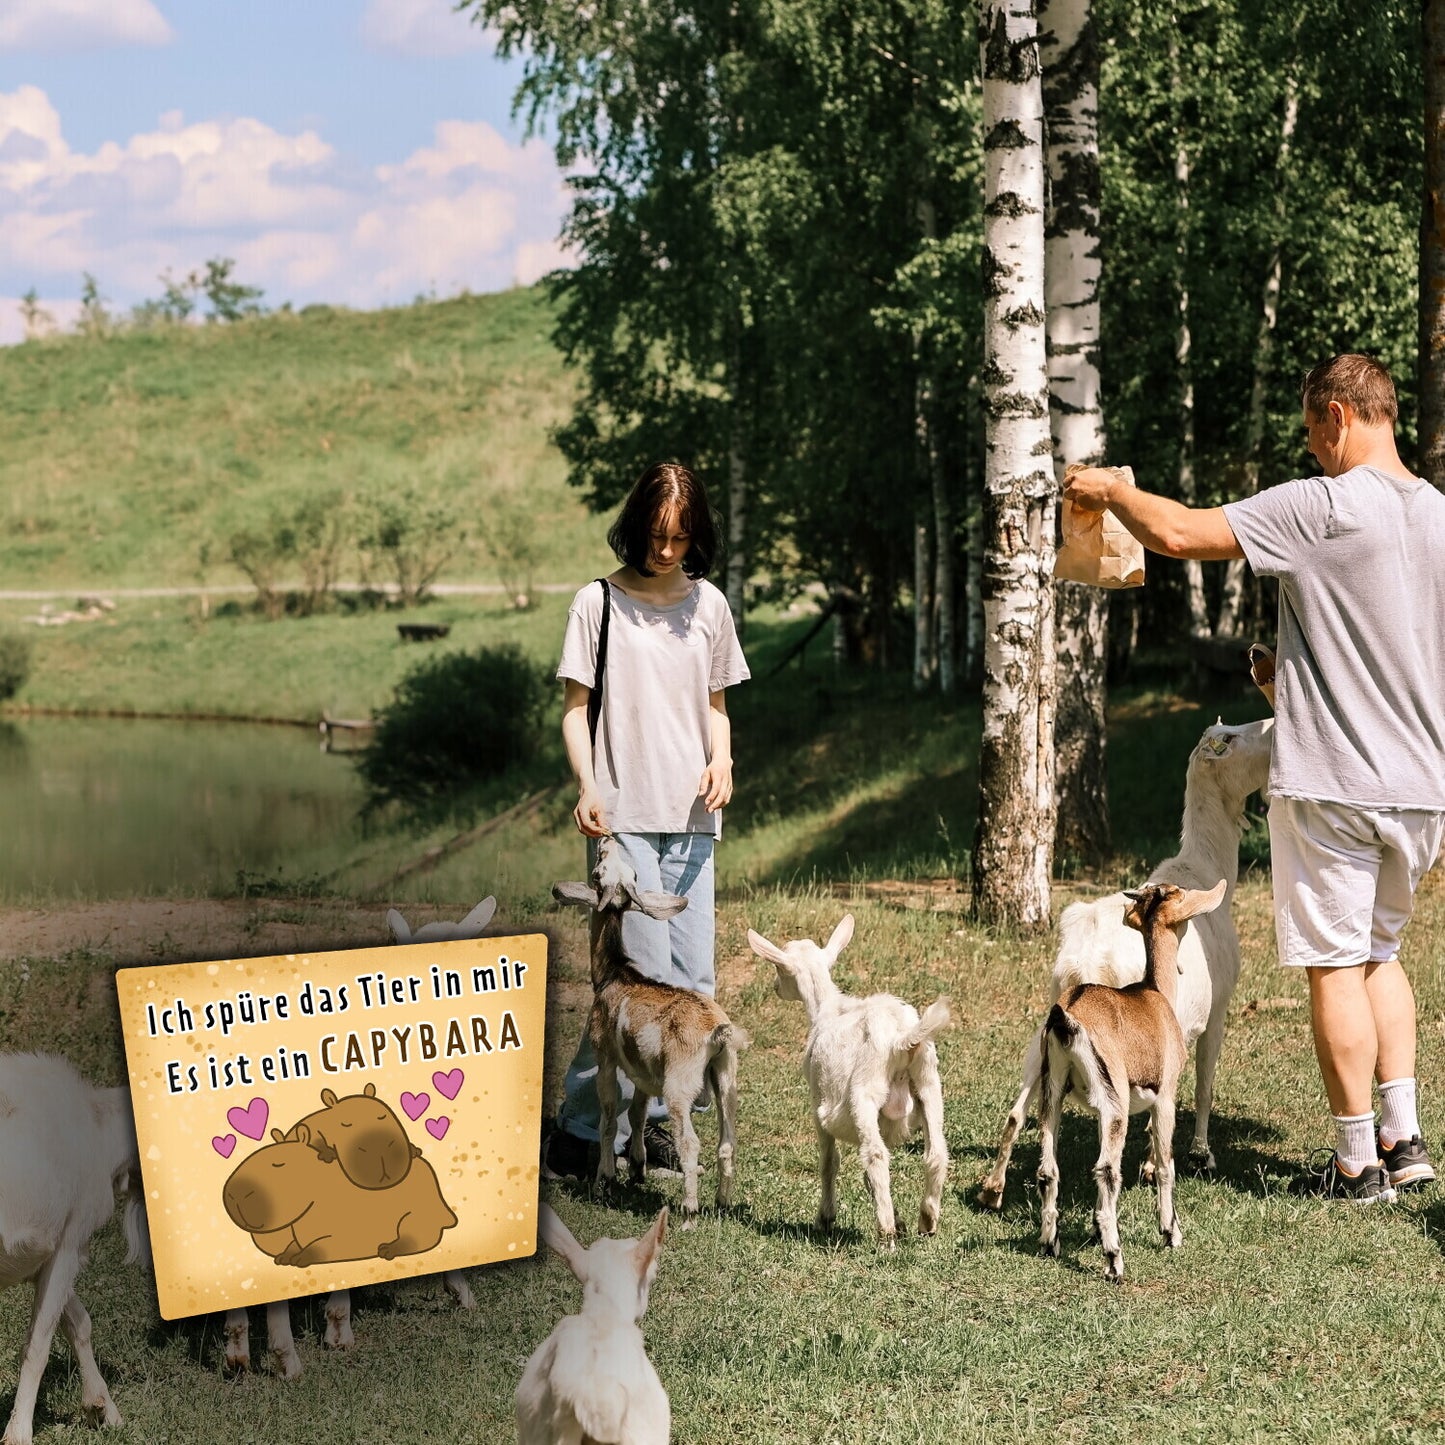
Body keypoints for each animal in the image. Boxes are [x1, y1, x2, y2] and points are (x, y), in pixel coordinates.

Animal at [0, 1051, 149, 1445]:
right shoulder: (69, 1242)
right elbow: (37, 1345)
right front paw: (18, 1433)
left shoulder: (44, 1258)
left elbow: (77, 1321)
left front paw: (102, 1408)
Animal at [551, 838, 751, 1219]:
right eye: (633, 873)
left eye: (597, 874)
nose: (606, 840)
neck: (616, 973)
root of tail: (716, 1032)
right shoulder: (643, 1070)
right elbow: (638, 1113)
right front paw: (637, 1169)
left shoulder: (606, 1056)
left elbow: (609, 1117)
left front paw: (606, 1179)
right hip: (727, 1079)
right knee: (727, 1141)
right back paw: (722, 1202)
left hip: (679, 1086)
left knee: (690, 1141)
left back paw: (689, 1209)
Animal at [751, 913, 953, 1242]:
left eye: (779, 968)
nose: (775, 987)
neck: (827, 1008)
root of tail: (901, 1039)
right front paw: (899, 1219)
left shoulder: (817, 1101)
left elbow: (829, 1162)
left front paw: (825, 1218)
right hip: (929, 1084)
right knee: (935, 1153)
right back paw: (926, 1221)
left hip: (864, 1096)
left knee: (876, 1156)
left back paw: (886, 1235)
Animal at [976, 713, 1271, 1208]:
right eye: (1229, 738)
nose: (1271, 722)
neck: (1205, 870)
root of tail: (1085, 959)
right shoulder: (1215, 1013)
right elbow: (1204, 1086)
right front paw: (1196, 1156)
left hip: (1043, 1036)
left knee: (1019, 1109)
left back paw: (992, 1188)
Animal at [1034, 872, 1225, 1283]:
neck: (1153, 993)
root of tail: (1066, 1018)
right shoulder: (1165, 1096)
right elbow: (1165, 1164)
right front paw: (1171, 1233)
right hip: (1115, 1101)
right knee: (1107, 1169)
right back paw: (1114, 1261)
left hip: (1052, 1092)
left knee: (1048, 1169)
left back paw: (1049, 1243)